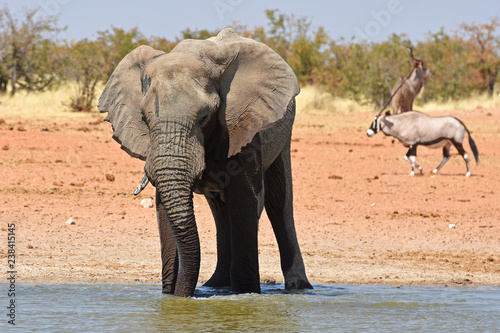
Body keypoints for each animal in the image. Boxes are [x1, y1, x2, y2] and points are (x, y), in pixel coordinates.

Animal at [97, 27, 312, 294]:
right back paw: (217, 285)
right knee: (220, 210)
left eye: (205, 117)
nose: (181, 295)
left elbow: (246, 200)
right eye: (145, 119)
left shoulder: (243, 125)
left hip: (283, 127)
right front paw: (170, 295)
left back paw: (298, 288)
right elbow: (164, 207)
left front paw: (246, 293)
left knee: (277, 201)